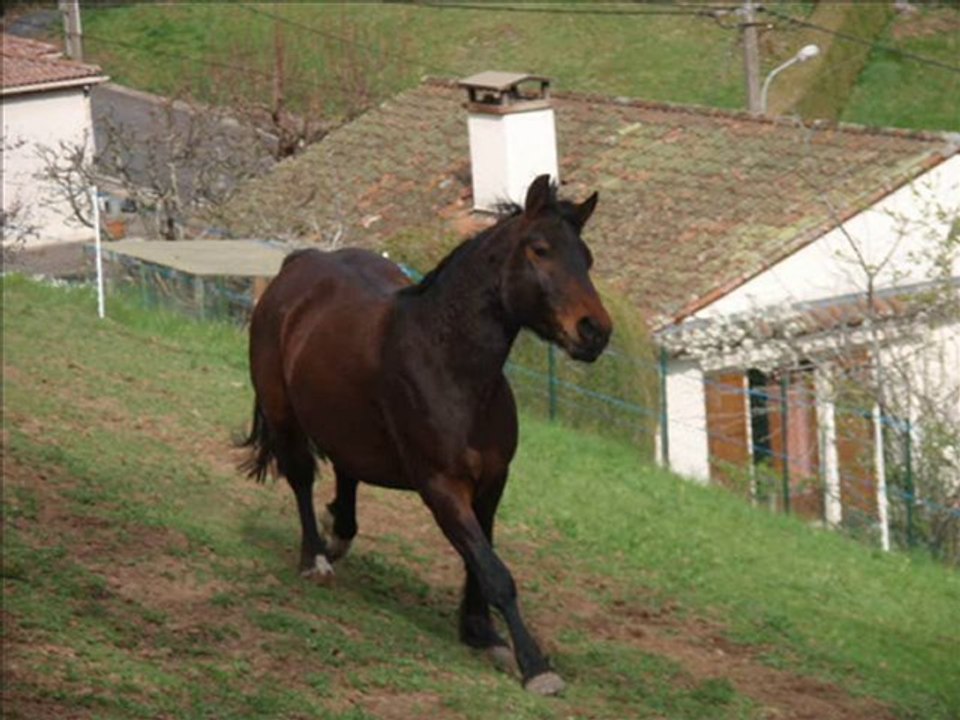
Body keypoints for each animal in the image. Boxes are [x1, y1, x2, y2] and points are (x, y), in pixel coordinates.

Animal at [241, 174, 612, 695]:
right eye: (540, 250)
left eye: (587, 258)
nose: (595, 331)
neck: (449, 364)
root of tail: (299, 264)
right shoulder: (440, 486)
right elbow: (495, 571)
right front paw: (536, 666)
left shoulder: (492, 482)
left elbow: (481, 559)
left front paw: (481, 633)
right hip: (283, 414)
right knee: (300, 477)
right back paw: (315, 559)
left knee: (347, 473)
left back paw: (339, 534)